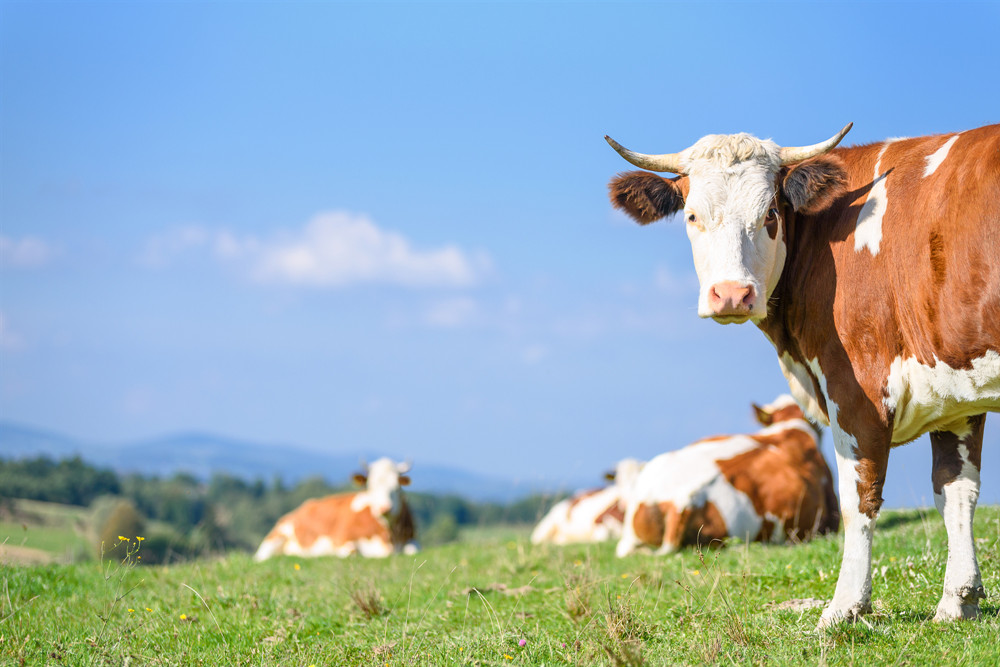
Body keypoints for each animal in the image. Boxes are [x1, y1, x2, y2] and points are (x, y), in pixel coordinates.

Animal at [256, 456, 420, 560]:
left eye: (397, 487)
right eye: (370, 487)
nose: (384, 508)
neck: (388, 535)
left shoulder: (412, 540)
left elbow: (413, 550)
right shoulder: (343, 541)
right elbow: (351, 553)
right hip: (275, 538)